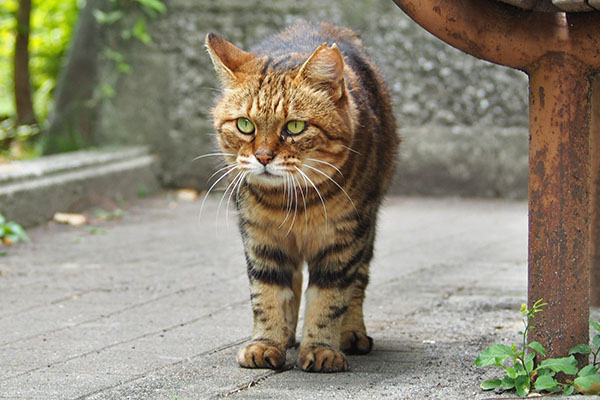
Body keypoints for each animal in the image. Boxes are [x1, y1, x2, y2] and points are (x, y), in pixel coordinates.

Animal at [206, 21, 398, 372]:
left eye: (294, 127)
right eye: (245, 125)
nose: (263, 157)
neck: (290, 204)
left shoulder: (342, 241)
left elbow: (329, 299)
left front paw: (322, 348)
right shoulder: (262, 240)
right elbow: (267, 295)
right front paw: (267, 342)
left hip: (367, 228)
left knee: (358, 284)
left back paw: (351, 334)